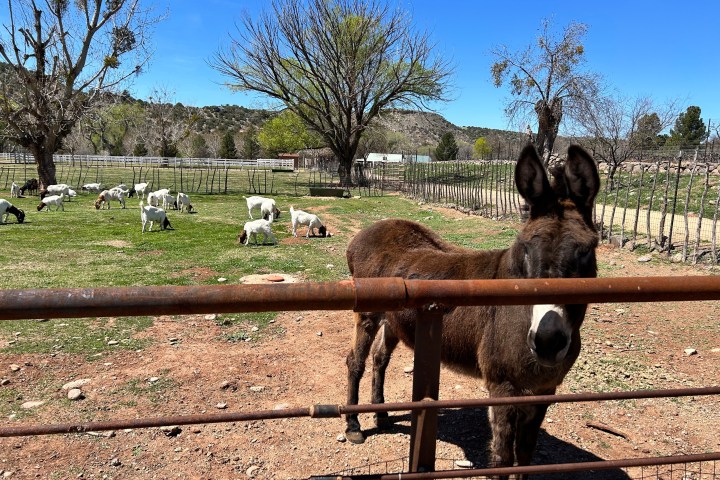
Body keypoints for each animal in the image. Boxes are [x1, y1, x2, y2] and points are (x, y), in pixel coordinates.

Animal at [343, 144, 600, 474]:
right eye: (526, 249)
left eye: (587, 250)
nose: (547, 340)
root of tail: (369, 230)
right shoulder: (502, 388)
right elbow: (503, 460)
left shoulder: (545, 391)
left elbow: (525, 457)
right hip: (367, 313)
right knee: (356, 361)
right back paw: (353, 425)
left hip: (393, 320)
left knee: (379, 358)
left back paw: (382, 414)